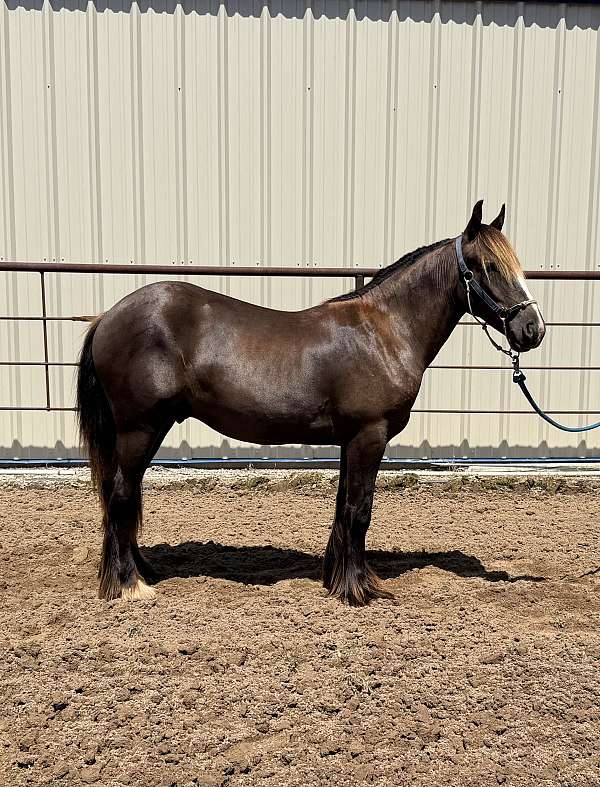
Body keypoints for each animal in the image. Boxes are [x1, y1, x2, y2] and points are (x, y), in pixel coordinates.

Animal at [76, 201, 546, 606]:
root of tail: (107, 318)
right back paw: (129, 585)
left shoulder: (351, 441)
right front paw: (359, 590)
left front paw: (337, 578)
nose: (533, 329)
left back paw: (141, 571)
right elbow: (359, 511)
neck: (385, 333)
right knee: (121, 494)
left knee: (126, 496)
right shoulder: (369, 436)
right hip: (139, 428)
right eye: (488, 266)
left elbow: (343, 508)